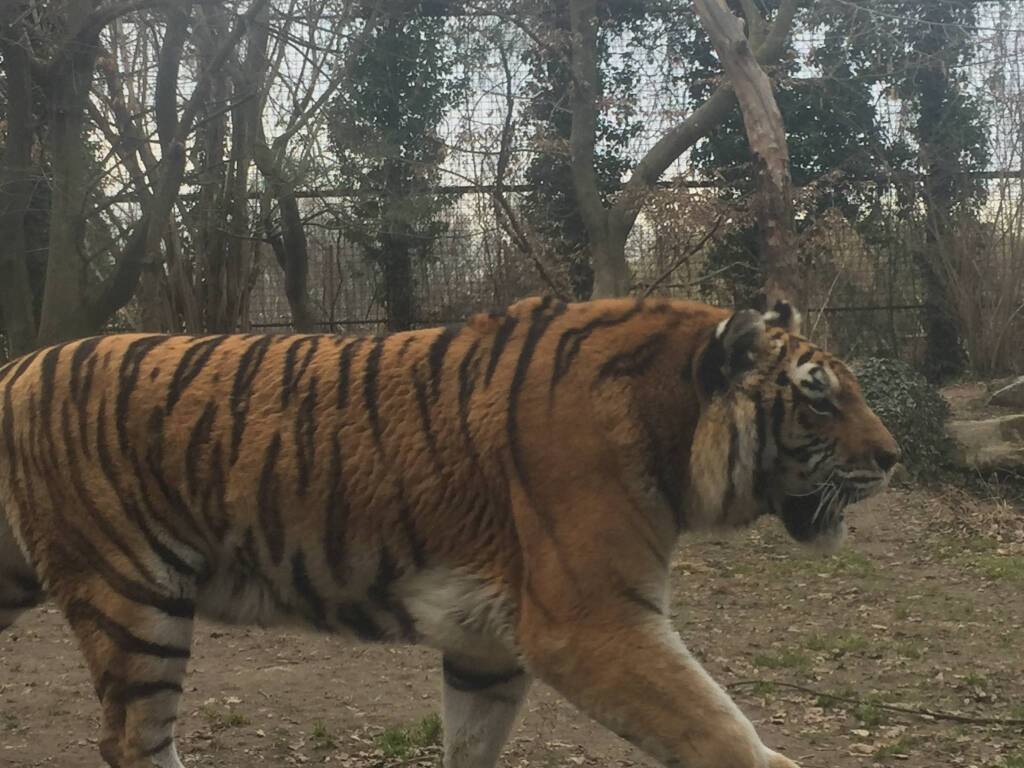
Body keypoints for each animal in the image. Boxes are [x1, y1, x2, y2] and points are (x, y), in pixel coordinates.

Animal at [0, 295, 899, 768]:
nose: (893, 458)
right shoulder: (592, 623)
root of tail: (17, 366)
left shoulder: (486, 643)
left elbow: (471, 745)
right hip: (133, 599)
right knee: (131, 740)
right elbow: (717, 730)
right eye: (820, 397)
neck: (670, 431)